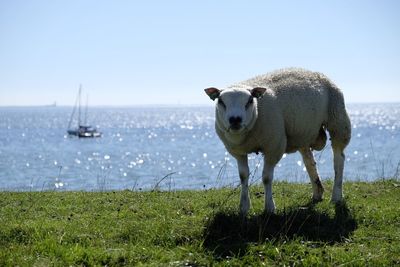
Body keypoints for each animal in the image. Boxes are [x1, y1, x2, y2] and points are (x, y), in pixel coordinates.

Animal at [205, 68, 352, 216]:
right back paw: (317, 193)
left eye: (250, 100)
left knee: (338, 159)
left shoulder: (273, 147)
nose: (235, 119)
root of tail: (316, 73)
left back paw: (336, 196)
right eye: (221, 101)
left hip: (337, 120)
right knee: (309, 162)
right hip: (302, 133)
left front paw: (270, 208)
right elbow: (243, 176)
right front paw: (244, 207)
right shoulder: (238, 152)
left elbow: (266, 178)